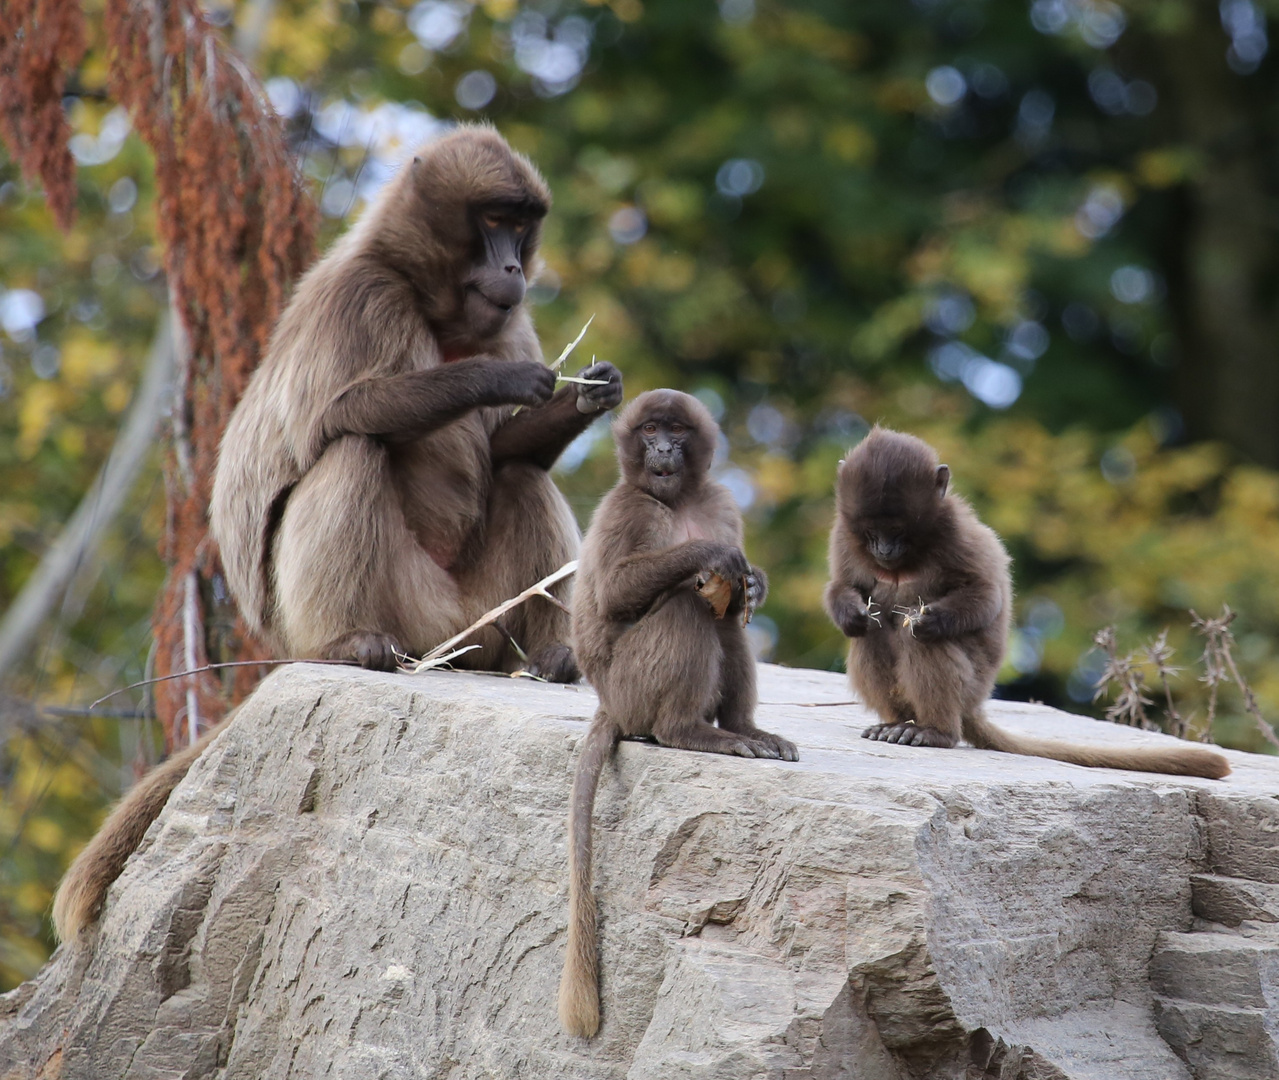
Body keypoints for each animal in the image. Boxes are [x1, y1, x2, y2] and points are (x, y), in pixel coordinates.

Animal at [209, 126, 619, 675]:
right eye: (494, 220)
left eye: (520, 226)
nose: (513, 267)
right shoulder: (363, 295)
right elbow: (333, 415)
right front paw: (497, 377)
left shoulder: (511, 322)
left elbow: (504, 452)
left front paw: (589, 393)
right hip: (410, 614)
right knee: (355, 447)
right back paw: (349, 642)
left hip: (481, 620)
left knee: (523, 475)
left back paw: (552, 656)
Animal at [562, 389, 798, 1039]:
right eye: (649, 432)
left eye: (675, 430)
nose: (664, 450)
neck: (678, 500)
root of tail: (606, 702)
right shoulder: (630, 507)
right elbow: (620, 590)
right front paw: (710, 555)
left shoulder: (718, 500)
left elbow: (741, 593)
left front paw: (756, 581)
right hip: (633, 686)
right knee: (688, 604)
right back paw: (688, 733)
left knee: (726, 616)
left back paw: (743, 729)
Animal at [823, 424, 1232, 778]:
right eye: (872, 531)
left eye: (898, 531)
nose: (884, 550)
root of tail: (970, 707)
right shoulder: (843, 533)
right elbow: (842, 587)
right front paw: (851, 614)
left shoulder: (954, 529)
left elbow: (985, 595)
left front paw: (929, 620)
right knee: (873, 634)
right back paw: (896, 722)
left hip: (970, 685)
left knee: (917, 640)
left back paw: (936, 731)